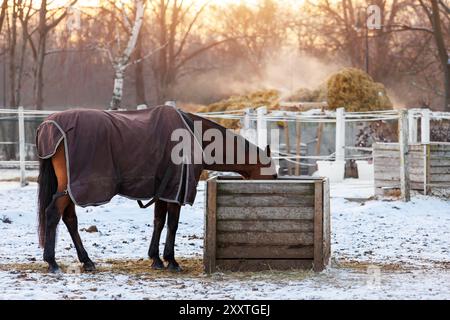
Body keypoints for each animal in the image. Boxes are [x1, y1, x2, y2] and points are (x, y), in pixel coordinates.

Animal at [37, 106, 278, 274]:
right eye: (273, 175)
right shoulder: (176, 191)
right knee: (53, 214)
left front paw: (156, 259)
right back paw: (52, 262)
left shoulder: (164, 189)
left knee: (69, 219)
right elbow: (172, 224)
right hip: (71, 188)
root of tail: (49, 124)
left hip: (69, 189)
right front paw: (171, 261)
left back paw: (86, 261)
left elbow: (159, 222)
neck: (193, 135)